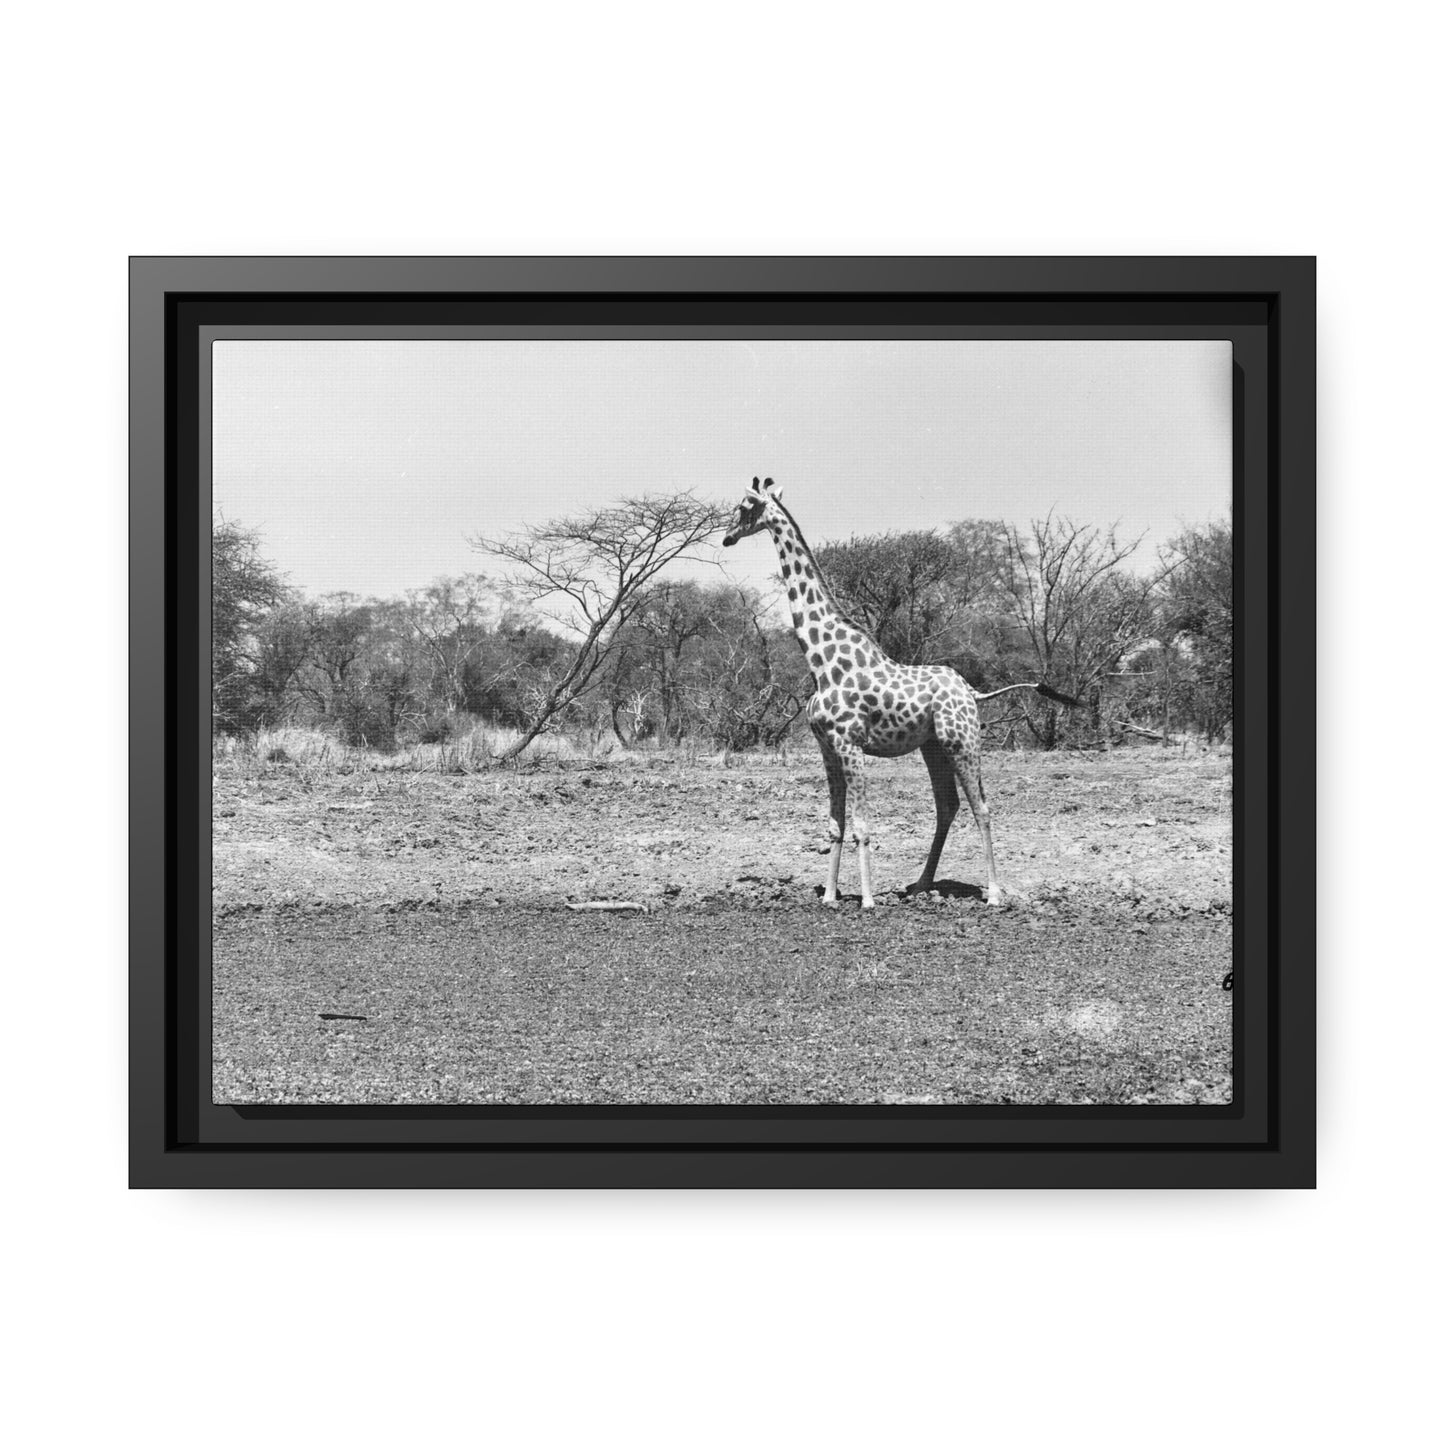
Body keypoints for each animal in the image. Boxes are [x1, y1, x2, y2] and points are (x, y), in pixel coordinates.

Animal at [721, 475, 1078, 910]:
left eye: (743, 508)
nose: (726, 538)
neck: (821, 662)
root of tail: (972, 692)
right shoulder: (827, 748)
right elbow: (835, 825)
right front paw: (829, 896)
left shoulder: (850, 745)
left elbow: (862, 825)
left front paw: (867, 900)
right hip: (934, 747)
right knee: (948, 806)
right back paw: (921, 885)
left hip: (963, 741)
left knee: (982, 807)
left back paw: (993, 893)